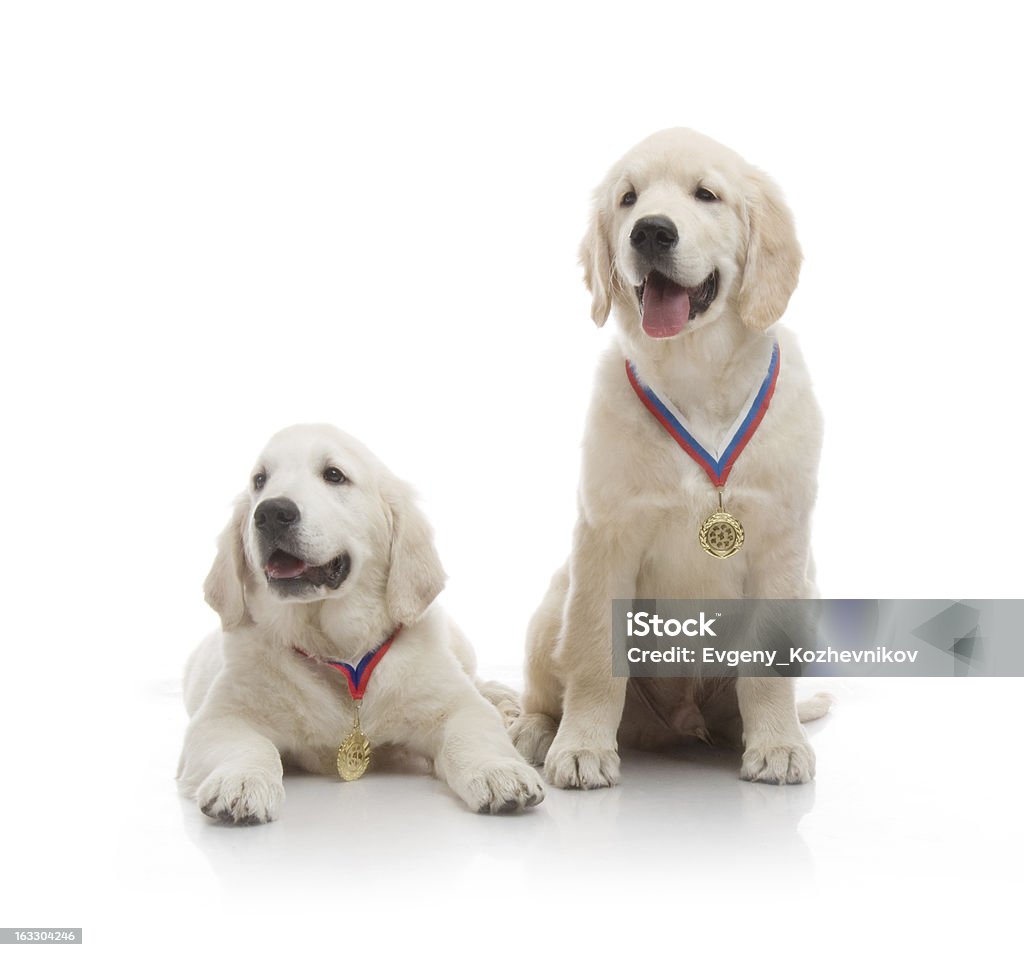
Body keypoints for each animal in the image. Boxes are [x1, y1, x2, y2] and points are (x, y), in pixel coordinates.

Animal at [178, 425, 544, 822]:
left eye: (334, 475)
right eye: (260, 480)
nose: (271, 512)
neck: (340, 652)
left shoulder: (453, 703)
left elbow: (472, 729)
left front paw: (499, 772)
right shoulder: (220, 717)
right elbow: (248, 747)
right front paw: (241, 782)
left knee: (475, 678)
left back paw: (502, 698)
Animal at [512, 125, 831, 786]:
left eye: (706, 194)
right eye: (628, 198)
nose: (651, 231)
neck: (696, 376)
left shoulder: (782, 542)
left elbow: (767, 667)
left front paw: (778, 744)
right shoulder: (605, 537)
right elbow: (593, 656)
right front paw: (582, 748)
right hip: (555, 598)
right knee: (545, 682)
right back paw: (537, 729)